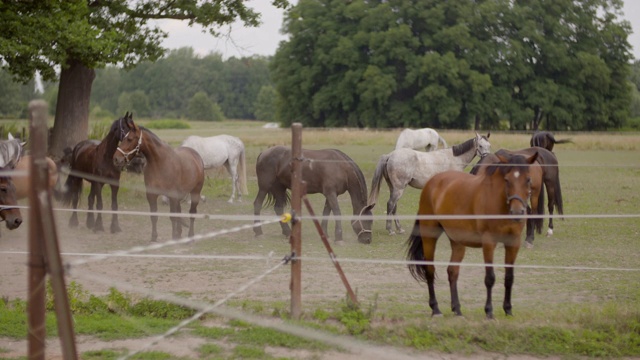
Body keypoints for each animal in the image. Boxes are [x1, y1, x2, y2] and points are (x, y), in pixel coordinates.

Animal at [114, 114, 204, 242]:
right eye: (123, 138)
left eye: (130, 139)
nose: (117, 159)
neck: (160, 162)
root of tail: (195, 155)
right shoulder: (152, 195)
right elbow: (154, 216)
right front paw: (154, 237)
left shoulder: (172, 195)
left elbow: (173, 216)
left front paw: (173, 237)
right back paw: (180, 233)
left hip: (195, 192)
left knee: (192, 212)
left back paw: (190, 236)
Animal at [408, 150, 536, 320]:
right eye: (507, 180)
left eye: (528, 179)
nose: (517, 212)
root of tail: (432, 182)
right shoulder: (489, 242)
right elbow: (490, 278)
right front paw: (489, 311)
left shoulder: (513, 242)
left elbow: (509, 277)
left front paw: (508, 310)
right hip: (430, 236)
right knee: (430, 270)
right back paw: (435, 309)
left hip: (457, 241)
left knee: (452, 272)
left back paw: (457, 309)